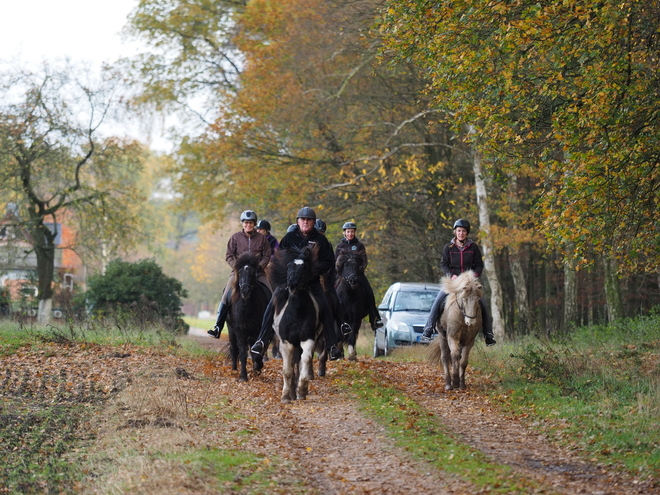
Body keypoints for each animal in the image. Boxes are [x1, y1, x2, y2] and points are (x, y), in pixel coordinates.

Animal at [226, 254, 270, 382]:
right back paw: (234, 370)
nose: (245, 291)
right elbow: (242, 353)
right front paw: (243, 376)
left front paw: (257, 367)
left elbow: (259, 351)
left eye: (253, 273)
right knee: (234, 348)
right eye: (239, 272)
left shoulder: (259, 331)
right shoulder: (240, 331)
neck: (247, 307)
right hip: (231, 330)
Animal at [266, 247, 326, 404]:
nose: (293, 285)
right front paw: (286, 396)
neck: (297, 312)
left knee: (299, 362)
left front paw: (302, 389)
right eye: (288, 266)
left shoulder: (308, 339)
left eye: (304, 267)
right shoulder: (286, 343)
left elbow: (305, 361)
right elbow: (287, 370)